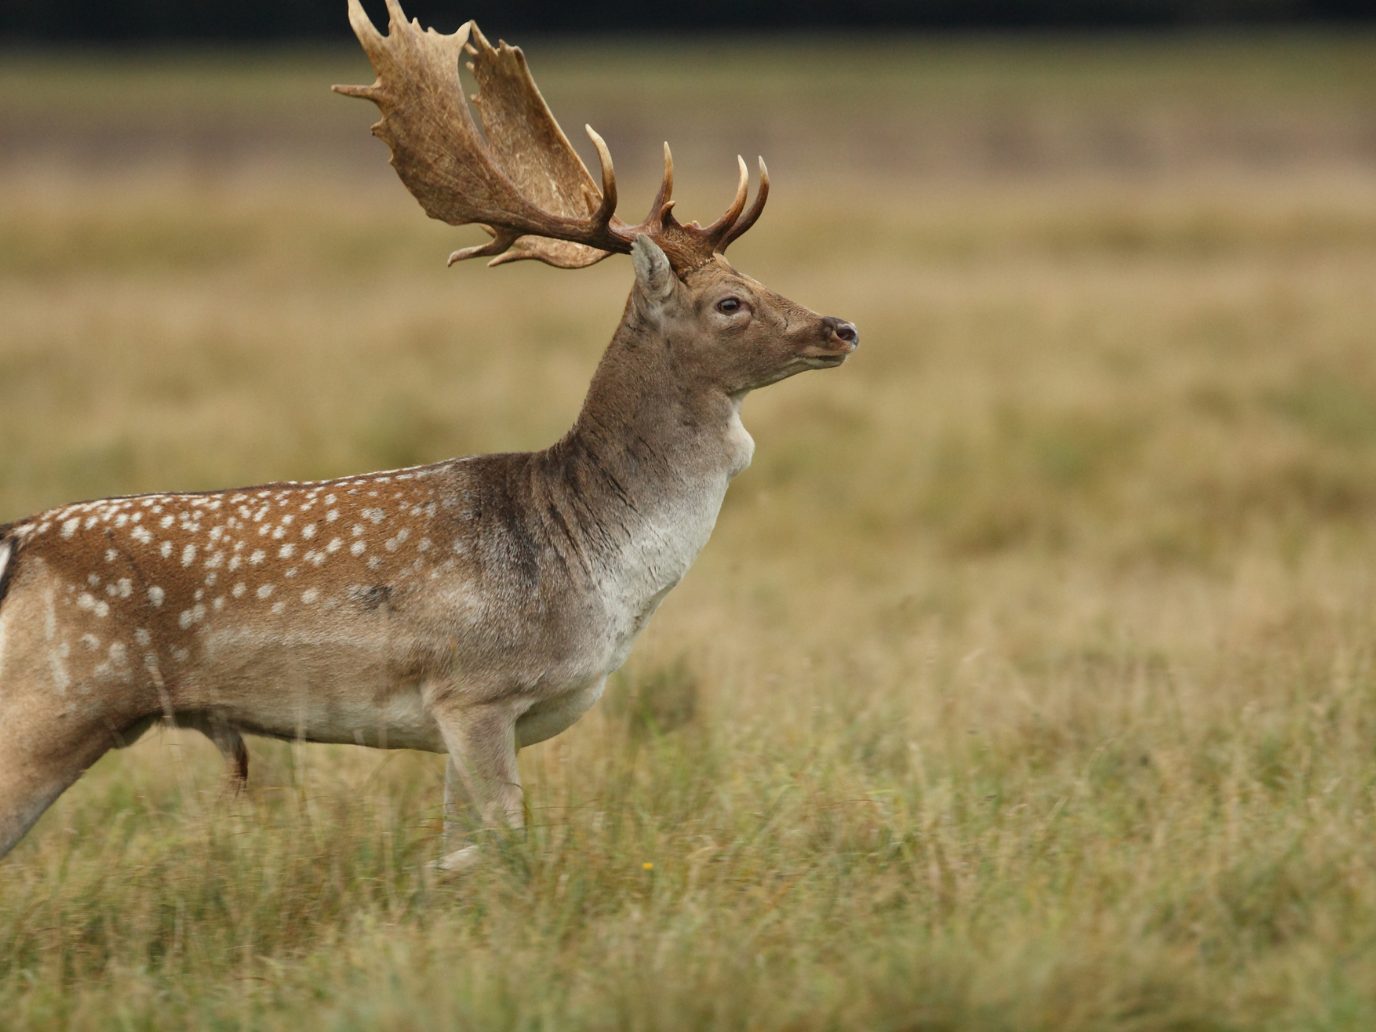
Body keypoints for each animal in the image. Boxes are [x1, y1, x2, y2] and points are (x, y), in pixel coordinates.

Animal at [0, 0, 858, 875]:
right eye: (729, 303)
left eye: (755, 278)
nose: (841, 328)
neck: (592, 565)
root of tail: (17, 542)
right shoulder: (475, 686)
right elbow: (508, 837)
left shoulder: (472, 715)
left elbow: (469, 844)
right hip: (51, 703)